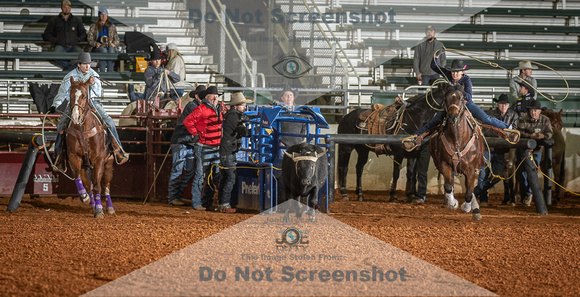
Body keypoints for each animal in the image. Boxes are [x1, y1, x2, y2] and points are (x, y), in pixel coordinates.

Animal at [65, 77, 114, 217]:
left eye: (84, 96)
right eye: (70, 95)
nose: (75, 116)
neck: (83, 131)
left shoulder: (99, 159)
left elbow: (97, 185)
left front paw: (99, 210)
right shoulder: (74, 156)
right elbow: (78, 177)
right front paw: (85, 197)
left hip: (108, 162)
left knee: (105, 184)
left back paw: (109, 208)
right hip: (86, 165)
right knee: (87, 183)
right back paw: (92, 203)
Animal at [428, 85, 488, 220]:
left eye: (461, 98)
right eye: (445, 98)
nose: (453, 116)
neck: (457, 140)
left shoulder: (471, 169)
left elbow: (469, 193)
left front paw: (466, 207)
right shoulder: (444, 164)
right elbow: (448, 186)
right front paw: (453, 203)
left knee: (471, 190)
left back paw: (475, 210)